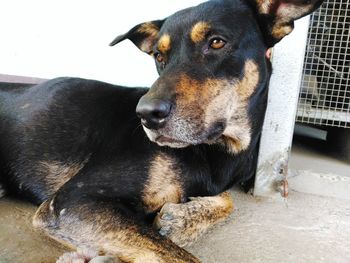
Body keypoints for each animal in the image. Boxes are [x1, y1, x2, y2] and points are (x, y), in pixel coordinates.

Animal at [0, 1, 322, 262]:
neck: (218, 148)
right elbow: (180, 257)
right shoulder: (72, 202)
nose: (145, 115)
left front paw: (178, 219)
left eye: (217, 42)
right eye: (158, 55)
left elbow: (226, 199)